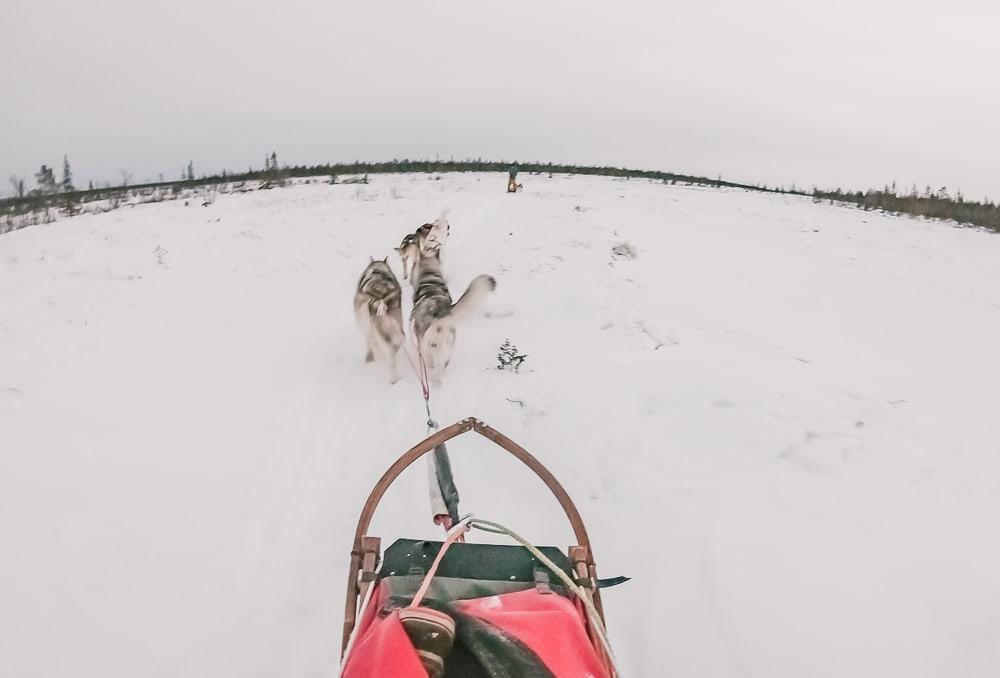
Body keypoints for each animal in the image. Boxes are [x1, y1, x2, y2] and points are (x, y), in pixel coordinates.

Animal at [410, 248, 496, 386]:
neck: (430, 275)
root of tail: (441, 316)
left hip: (428, 345)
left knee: (430, 362)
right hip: (446, 349)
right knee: (440, 368)